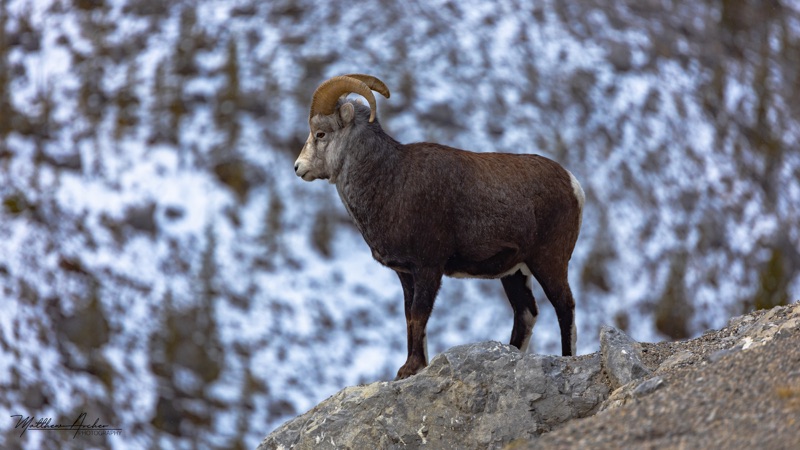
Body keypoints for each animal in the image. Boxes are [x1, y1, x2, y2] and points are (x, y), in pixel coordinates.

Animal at [294, 74, 585, 379]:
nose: (298, 167)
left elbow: (419, 314)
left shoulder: (428, 268)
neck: (390, 182)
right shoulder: (406, 274)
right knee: (526, 312)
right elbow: (409, 317)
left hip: (548, 262)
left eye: (321, 134)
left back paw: (567, 358)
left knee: (564, 306)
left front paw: (410, 368)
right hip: (514, 272)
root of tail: (572, 184)